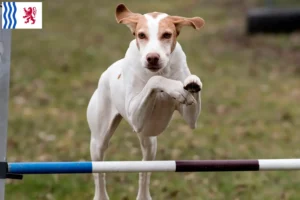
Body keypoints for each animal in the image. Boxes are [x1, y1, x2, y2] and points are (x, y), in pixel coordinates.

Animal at [86, 3, 204, 200]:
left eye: (166, 35)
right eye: (141, 35)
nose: (152, 57)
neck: (162, 71)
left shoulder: (190, 118)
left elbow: (191, 100)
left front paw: (192, 83)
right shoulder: (134, 114)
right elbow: (155, 81)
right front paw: (174, 88)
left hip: (149, 143)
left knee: (144, 171)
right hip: (99, 141)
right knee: (99, 174)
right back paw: (101, 195)